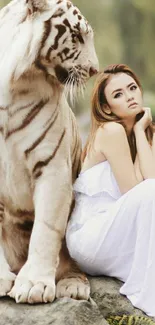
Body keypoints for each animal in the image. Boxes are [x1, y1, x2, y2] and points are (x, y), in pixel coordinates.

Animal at [0, 0, 98, 302]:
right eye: (76, 36)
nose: (95, 70)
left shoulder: (53, 168)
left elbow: (45, 230)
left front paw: (33, 285)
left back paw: (73, 286)